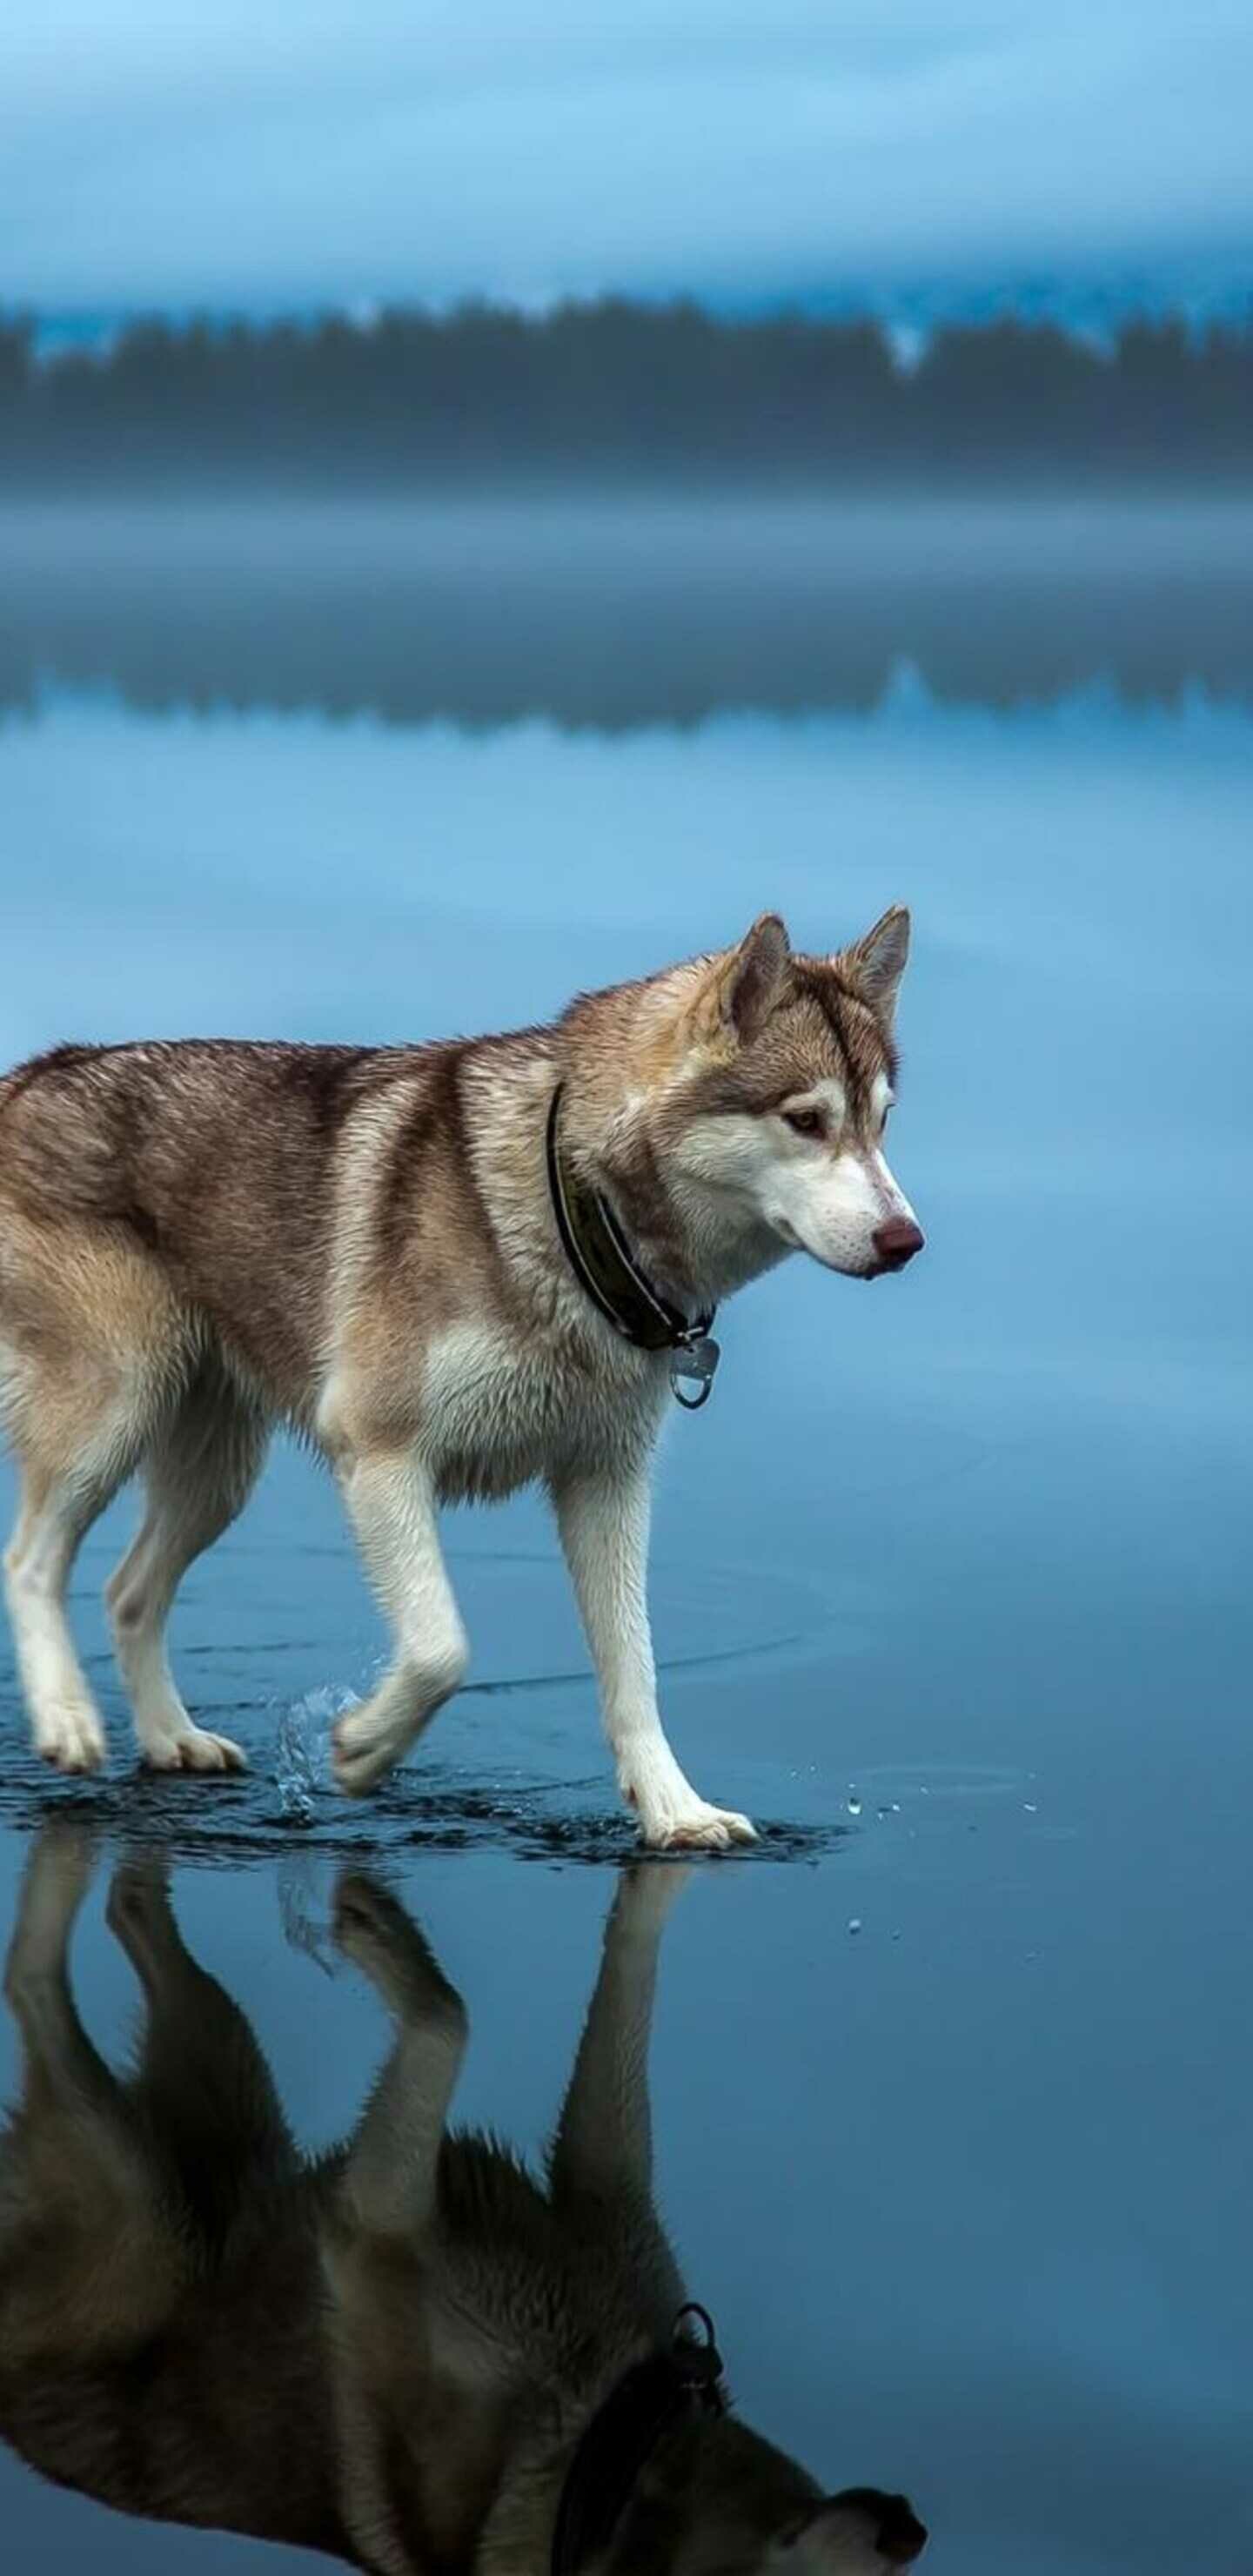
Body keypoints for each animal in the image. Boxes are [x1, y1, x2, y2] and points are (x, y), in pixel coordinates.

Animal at [0, 916, 917, 1844]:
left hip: (217, 1472)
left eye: (881, 1124)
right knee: (31, 1561)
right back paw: (68, 1720)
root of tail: (37, 1071)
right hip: (112, 1412)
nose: (906, 1240)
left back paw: (169, 1737)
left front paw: (674, 1811)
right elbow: (444, 1649)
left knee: (128, 1592)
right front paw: (364, 1747)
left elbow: (634, 1669)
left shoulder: (607, 1481)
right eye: (806, 1120)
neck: (572, 1210)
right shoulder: (380, 1454)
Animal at [0, 1823, 917, 2566]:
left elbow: (624, 1982)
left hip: (225, 2072)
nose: (912, 2531)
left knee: (129, 1912)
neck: (611, 2441)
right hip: (144, 2199)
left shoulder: (599, 2187)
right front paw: (377, 1933)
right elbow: (449, 2017)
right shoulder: (373, 2222)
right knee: (30, 1980)